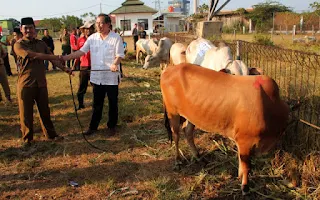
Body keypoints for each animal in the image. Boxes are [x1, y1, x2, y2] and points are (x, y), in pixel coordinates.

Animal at [161, 63, 288, 195]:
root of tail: (169, 69)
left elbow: (241, 161)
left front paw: (239, 176)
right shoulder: (245, 141)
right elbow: (246, 166)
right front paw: (245, 187)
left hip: (191, 116)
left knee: (188, 132)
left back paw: (198, 156)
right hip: (173, 113)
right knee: (176, 136)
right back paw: (178, 160)